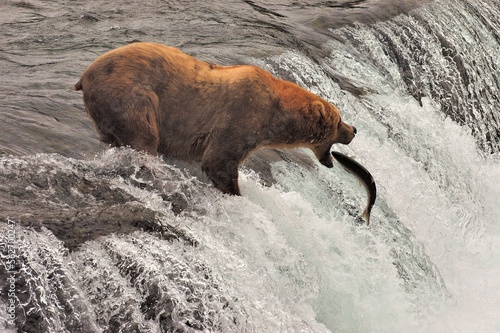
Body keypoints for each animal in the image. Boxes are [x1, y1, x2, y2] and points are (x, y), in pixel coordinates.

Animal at [73, 42, 356, 196]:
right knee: (143, 135)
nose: (353, 130)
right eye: (338, 120)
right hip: (131, 94)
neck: (276, 117)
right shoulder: (241, 116)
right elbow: (219, 161)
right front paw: (235, 192)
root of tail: (85, 75)